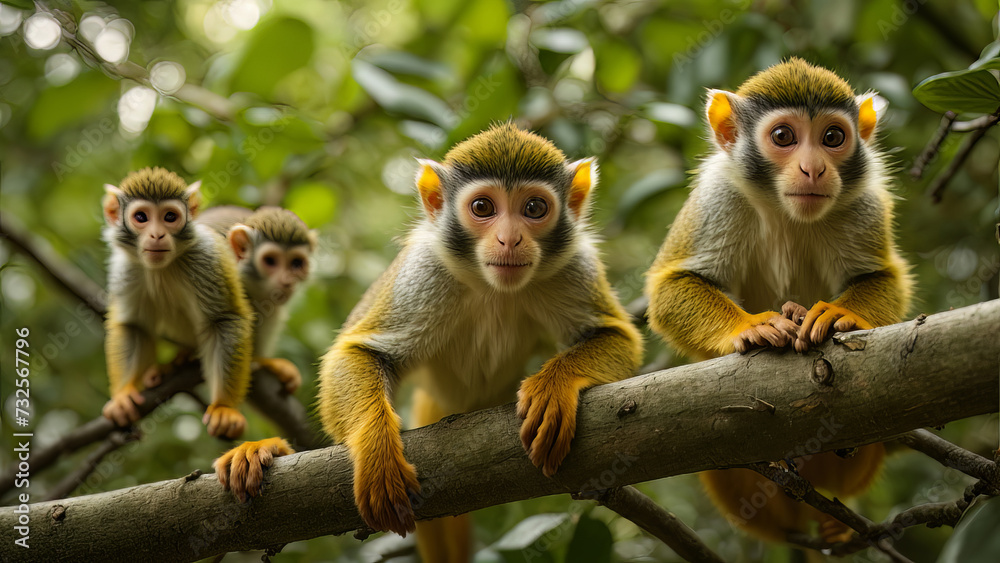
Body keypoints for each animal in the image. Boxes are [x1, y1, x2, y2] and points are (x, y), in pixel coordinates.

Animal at [101, 167, 253, 439]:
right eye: (141, 217)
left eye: (170, 217)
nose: (157, 234)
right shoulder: (126, 268)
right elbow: (135, 326)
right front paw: (123, 395)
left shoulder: (206, 258)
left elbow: (224, 320)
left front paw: (224, 407)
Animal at [214, 123, 644, 562]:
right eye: (483, 207)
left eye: (535, 208)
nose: (509, 240)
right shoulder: (424, 269)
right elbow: (356, 350)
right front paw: (376, 448)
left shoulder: (573, 263)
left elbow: (619, 336)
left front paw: (554, 385)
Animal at [644, 58, 912, 545]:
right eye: (784, 136)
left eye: (832, 137)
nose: (813, 169)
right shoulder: (719, 193)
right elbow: (672, 284)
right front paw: (749, 326)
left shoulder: (863, 198)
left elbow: (881, 275)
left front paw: (838, 312)